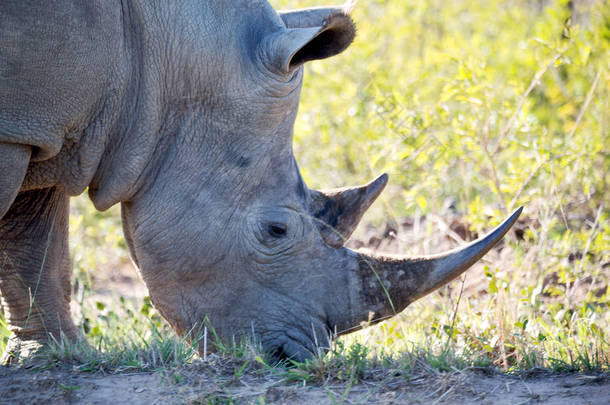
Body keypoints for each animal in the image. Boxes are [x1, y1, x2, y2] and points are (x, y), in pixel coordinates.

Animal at [1, 0, 516, 360]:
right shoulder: (22, 127)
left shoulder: (47, 127)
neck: (157, 56)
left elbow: (35, 245)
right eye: (276, 231)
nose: (298, 357)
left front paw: (54, 359)